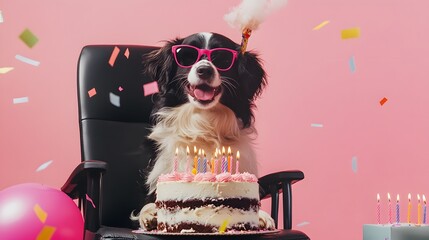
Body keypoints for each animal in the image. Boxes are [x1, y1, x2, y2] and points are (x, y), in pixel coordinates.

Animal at [132, 31, 272, 229]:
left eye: (222, 58)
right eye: (187, 56)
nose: (204, 70)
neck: (203, 124)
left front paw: (262, 216)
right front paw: (149, 213)